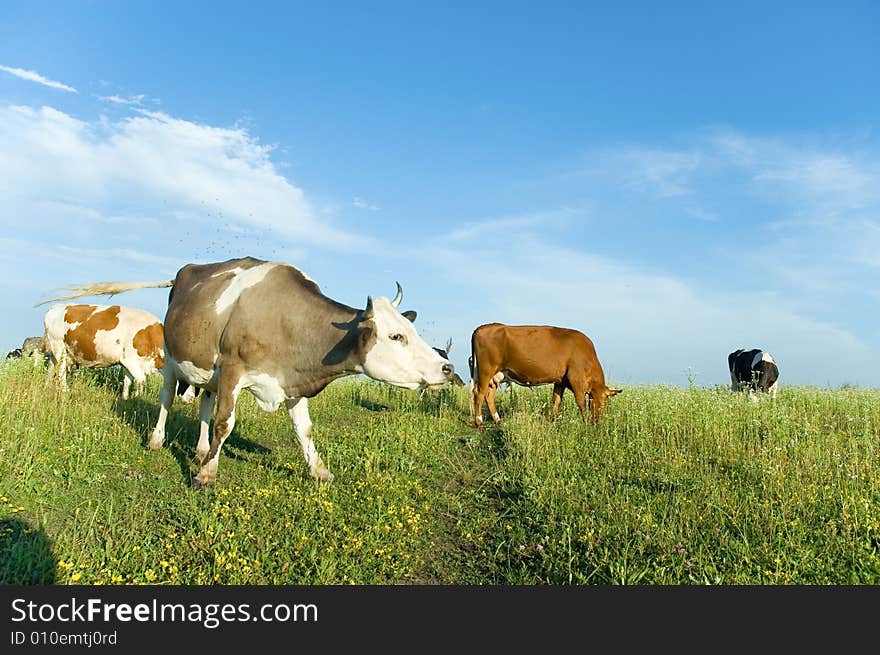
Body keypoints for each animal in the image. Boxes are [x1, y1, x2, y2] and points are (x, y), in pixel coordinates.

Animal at [46, 256, 460, 486]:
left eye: (411, 331)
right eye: (396, 336)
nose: (446, 367)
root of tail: (184, 272)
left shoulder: (292, 382)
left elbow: (304, 430)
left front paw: (318, 471)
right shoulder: (233, 368)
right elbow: (225, 424)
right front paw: (206, 475)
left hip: (207, 372)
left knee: (204, 403)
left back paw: (200, 450)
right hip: (174, 361)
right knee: (166, 400)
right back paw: (157, 441)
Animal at [470, 322, 624, 426]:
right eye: (604, 402)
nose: (598, 421)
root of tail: (483, 327)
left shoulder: (561, 381)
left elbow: (556, 400)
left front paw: (553, 420)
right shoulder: (576, 379)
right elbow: (581, 403)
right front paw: (585, 422)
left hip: (497, 375)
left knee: (489, 395)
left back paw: (498, 420)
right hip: (486, 371)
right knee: (479, 393)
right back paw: (479, 422)